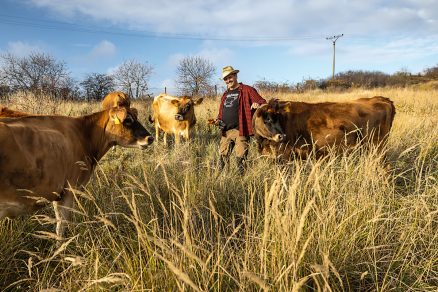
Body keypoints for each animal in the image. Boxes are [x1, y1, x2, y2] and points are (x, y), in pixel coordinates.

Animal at [0, 106, 154, 237]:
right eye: (127, 120)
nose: (150, 138)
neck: (84, 135)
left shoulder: (58, 194)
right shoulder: (70, 190)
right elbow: (62, 227)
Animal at [252, 96, 396, 160]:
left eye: (276, 117)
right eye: (267, 119)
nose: (281, 136)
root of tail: (380, 99)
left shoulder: (285, 155)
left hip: (377, 148)